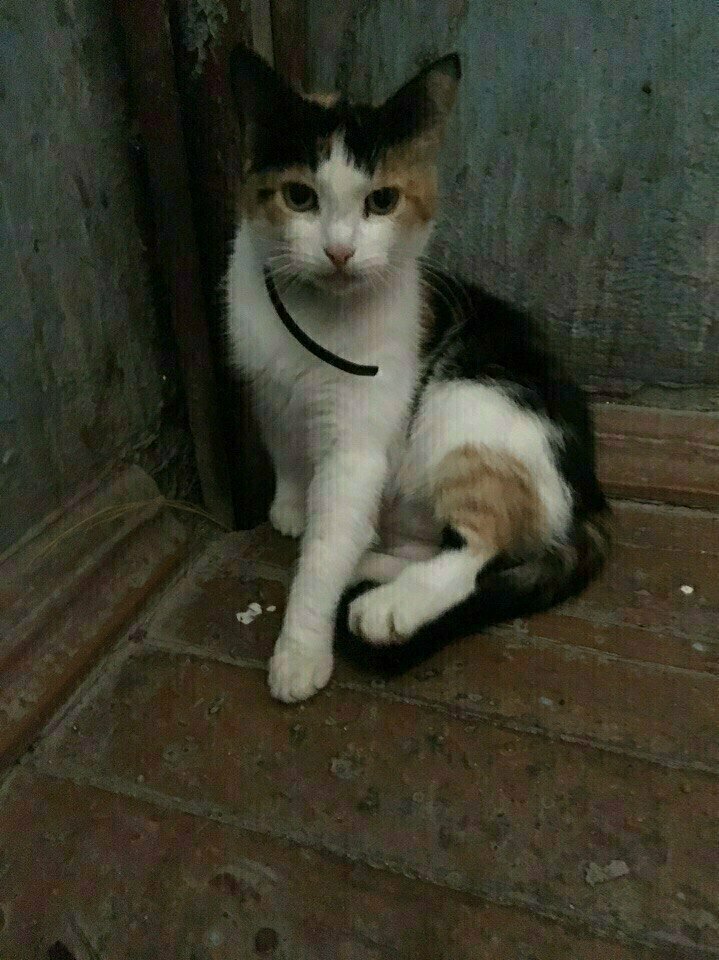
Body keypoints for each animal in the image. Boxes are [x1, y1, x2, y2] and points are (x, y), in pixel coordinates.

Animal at [226, 45, 610, 703]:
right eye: (299, 197)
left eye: (381, 202)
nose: (339, 252)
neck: (314, 320)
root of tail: (588, 492)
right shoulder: (266, 386)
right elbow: (287, 452)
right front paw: (293, 505)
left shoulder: (358, 444)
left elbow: (328, 544)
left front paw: (300, 649)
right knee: (418, 543)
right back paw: (367, 566)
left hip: (468, 402)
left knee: (477, 551)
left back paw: (387, 606)